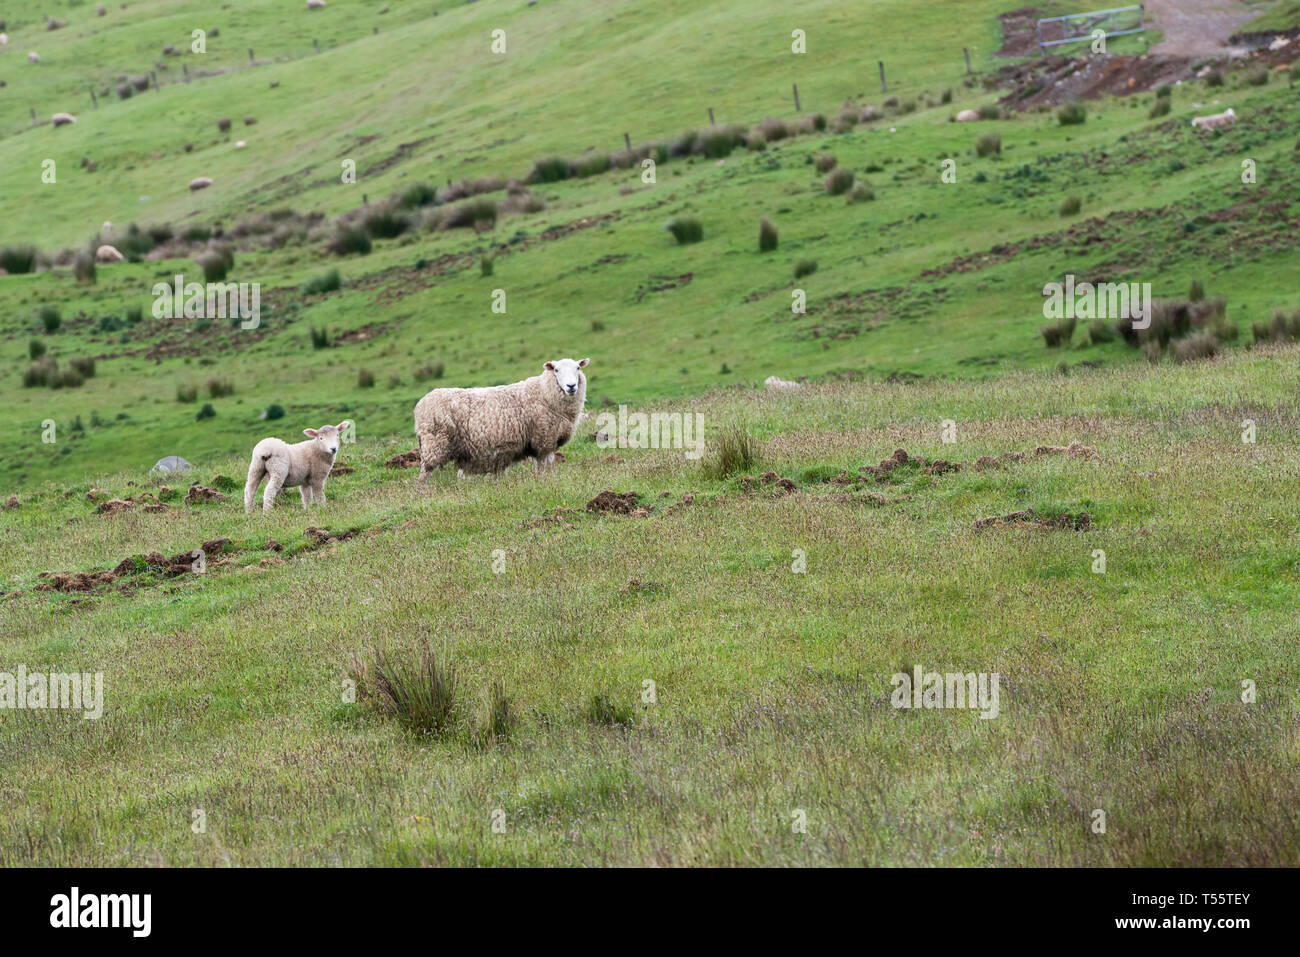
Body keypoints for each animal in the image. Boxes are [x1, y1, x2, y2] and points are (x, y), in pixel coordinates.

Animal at [414, 357, 589, 481]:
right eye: (557, 370)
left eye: (578, 368)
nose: (571, 386)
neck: (544, 392)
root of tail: (420, 405)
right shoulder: (543, 438)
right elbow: (542, 464)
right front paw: (543, 480)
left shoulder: (544, 441)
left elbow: (549, 462)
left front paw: (550, 478)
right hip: (435, 442)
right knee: (424, 472)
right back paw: (423, 492)